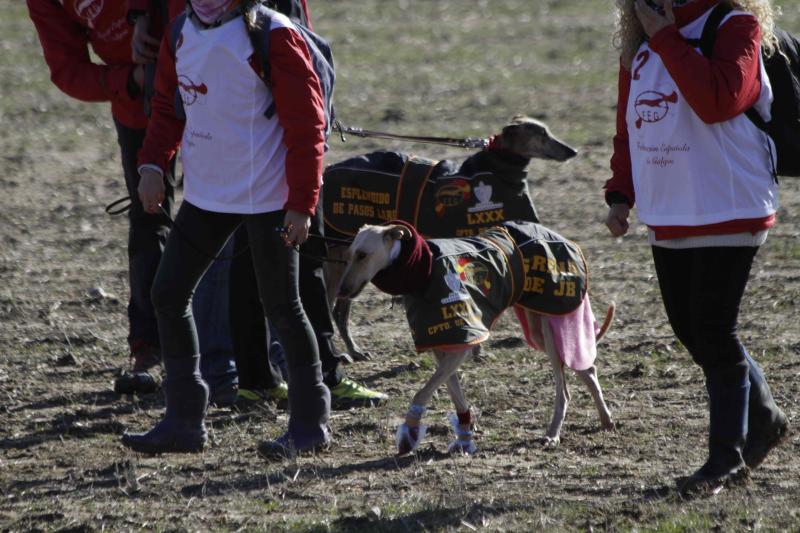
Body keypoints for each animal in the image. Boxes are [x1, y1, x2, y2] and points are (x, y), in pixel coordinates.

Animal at [322, 115, 580, 362]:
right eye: (542, 134)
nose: (573, 151)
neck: (498, 168)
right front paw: (476, 350)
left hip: (353, 272)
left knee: (338, 309)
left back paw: (353, 350)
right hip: (343, 267)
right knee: (329, 306)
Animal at [334, 220, 616, 454]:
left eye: (362, 255)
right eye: (348, 256)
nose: (342, 291)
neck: (421, 269)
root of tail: (564, 239)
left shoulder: (462, 345)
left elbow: (421, 394)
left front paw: (409, 433)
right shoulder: (444, 345)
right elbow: (455, 395)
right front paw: (464, 439)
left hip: (553, 322)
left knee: (567, 386)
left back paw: (553, 433)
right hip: (538, 326)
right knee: (586, 369)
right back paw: (605, 420)